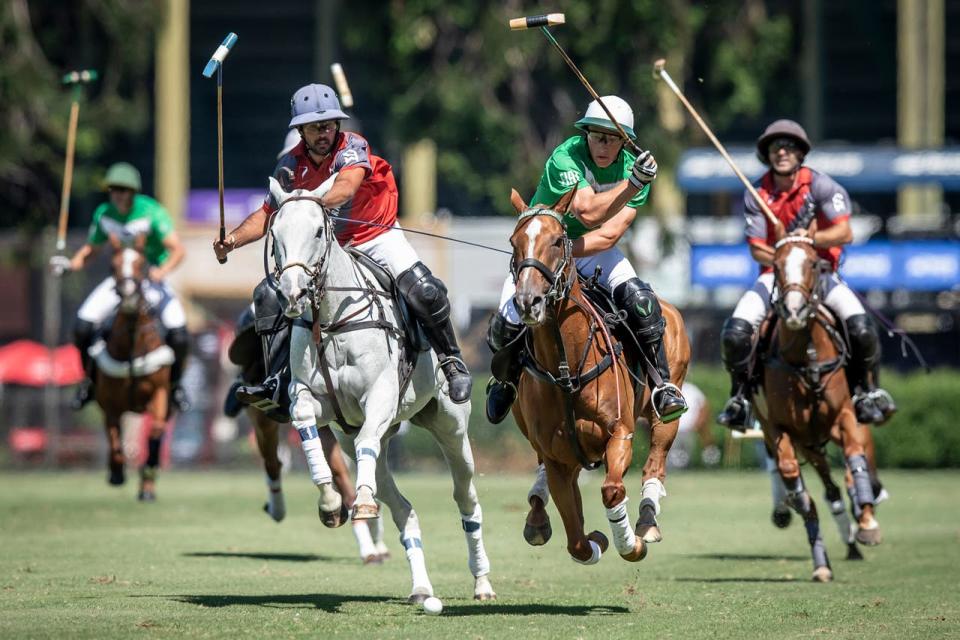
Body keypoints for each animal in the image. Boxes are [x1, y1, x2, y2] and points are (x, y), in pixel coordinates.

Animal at [91, 235, 175, 500]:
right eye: (113, 265)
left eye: (142, 264)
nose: (128, 295)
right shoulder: (109, 404)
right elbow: (114, 437)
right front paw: (117, 472)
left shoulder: (160, 393)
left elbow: (155, 431)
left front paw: (148, 476)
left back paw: (148, 483)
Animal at [268, 176, 498, 604]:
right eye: (275, 234)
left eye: (319, 230)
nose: (292, 293)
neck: (333, 321)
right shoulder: (314, 399)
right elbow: (306, 422)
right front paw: (331, 503)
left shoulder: (380, 397)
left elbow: (366, 445)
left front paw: (358, 503)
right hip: (377, 432)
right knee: (403, 507)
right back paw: (421, 588)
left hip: (452, 428)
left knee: (467, 500)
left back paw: (482, 583)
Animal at [506, 186, 688, 564]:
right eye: (514, 241)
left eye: (557, 240)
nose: (528, 301)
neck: (566, 368)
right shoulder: (557, 456)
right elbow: (575, 536)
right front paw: (596, 542)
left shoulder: (619, 434)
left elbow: (612, 490)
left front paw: (629, 544)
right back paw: (536, 517)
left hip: (667, 410)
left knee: (656, 463)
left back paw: (647, 522)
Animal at [752, 228, 880, 584]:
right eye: (776, 266)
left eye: (812, 263)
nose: (795, 312)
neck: (806, 356)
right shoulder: (778, 428)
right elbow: (793, 480)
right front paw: (796, 504)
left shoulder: (845, 416)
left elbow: (855, 457)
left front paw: (867, 523)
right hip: (807, 443)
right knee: (827, 490)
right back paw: (823, 560)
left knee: (850, 474)